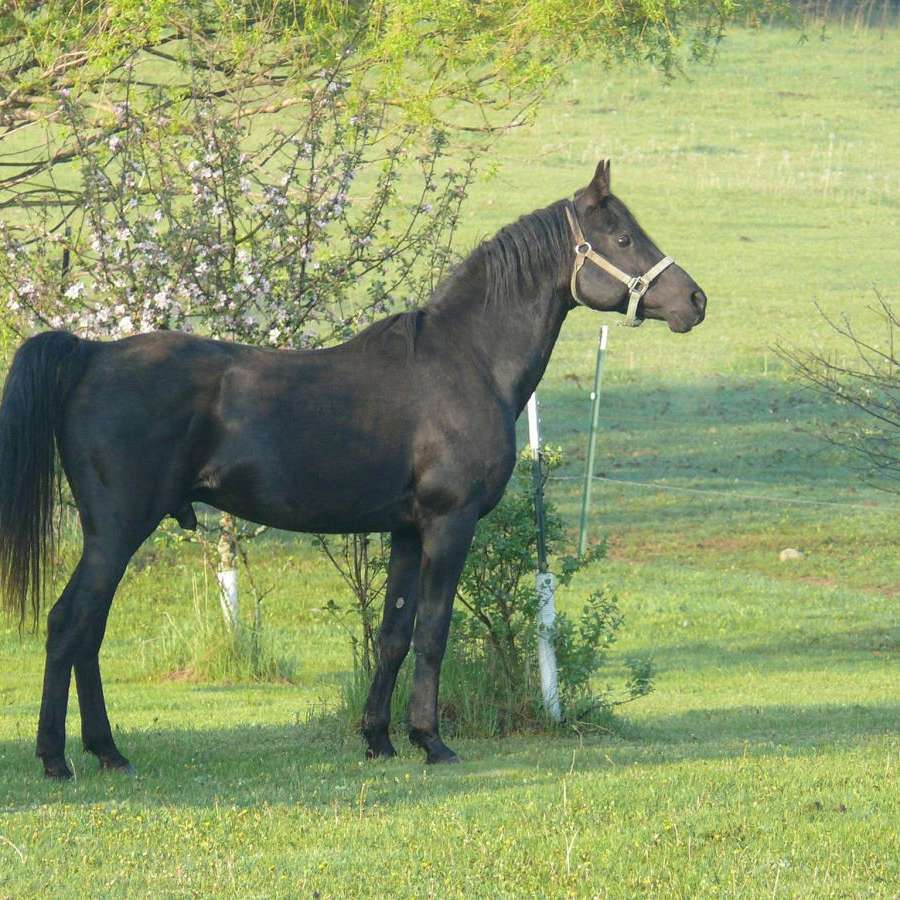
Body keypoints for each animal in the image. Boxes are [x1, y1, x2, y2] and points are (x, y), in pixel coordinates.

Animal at [0, 160, 704, 772]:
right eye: (622, 236)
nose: (694, 301)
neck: (465, 360)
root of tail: (92, 355)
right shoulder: (450, 525)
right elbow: (433, 631)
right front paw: (432, 742)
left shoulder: (406, 530)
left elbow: (393, 632)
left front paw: (379, 739)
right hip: (118, 530)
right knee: (70, 624)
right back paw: (59, 758)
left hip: (113, 534)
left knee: (86, 630)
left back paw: (106, 752)